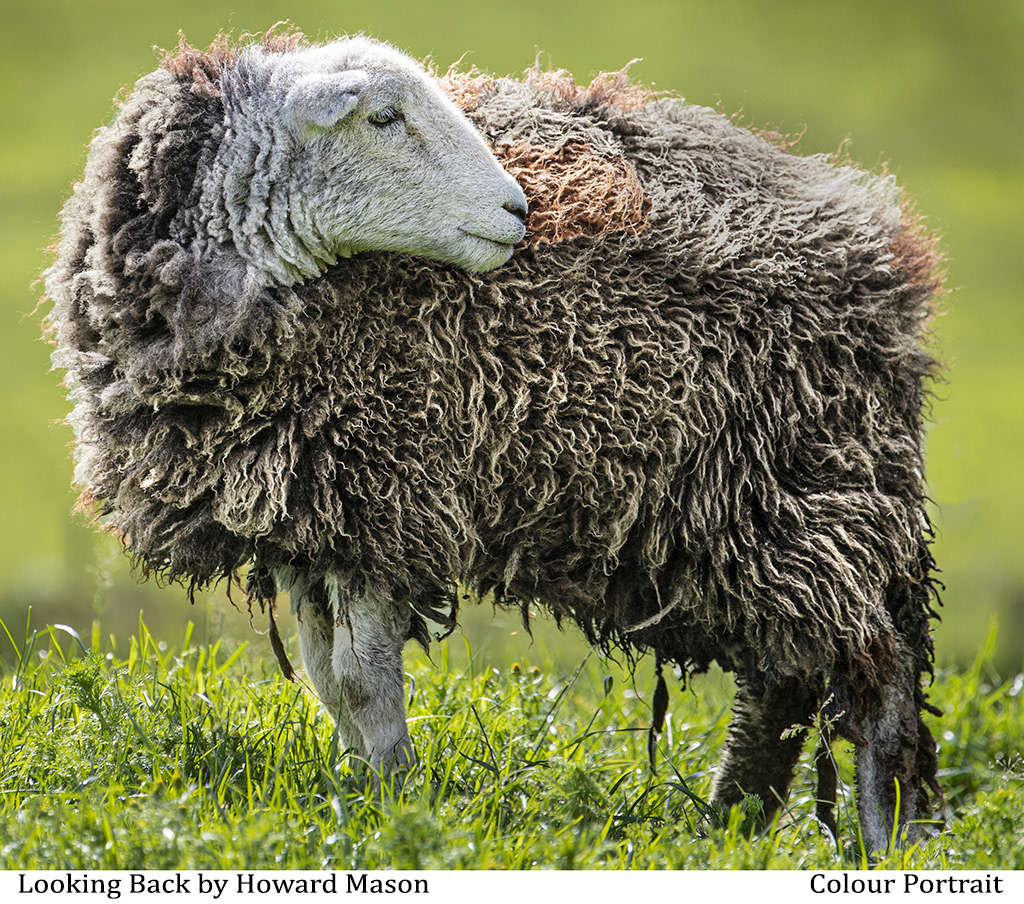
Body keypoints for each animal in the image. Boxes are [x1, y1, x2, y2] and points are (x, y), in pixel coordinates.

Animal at [44, 30, 946, 851]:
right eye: (383, 116)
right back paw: (731, 831)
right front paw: (362, 795)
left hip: (809, 492)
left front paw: (395, 806)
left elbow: (362, 684)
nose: (519, 209)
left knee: (876, 682)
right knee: (785, 681)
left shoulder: (386, 499)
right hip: (743, 518)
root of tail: (878, 244)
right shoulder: (312, 515)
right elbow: (331, 681)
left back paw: (886, 838)